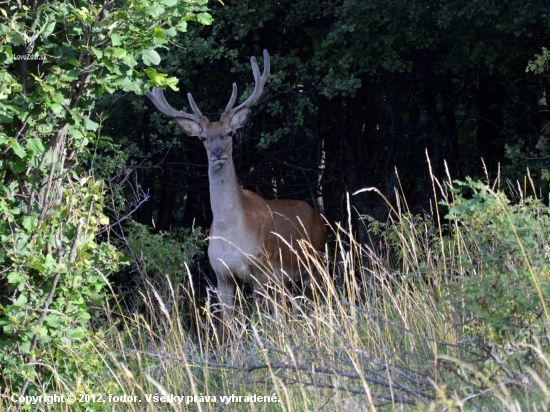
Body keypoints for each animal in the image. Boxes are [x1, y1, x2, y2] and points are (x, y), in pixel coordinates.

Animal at [146, 48, 328, 318]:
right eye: (203, 138)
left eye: (229, 133)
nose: (218, 152)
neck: (231, 230)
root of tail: (320, 218)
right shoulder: (221, 275)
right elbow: (228, 324)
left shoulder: (261, 269)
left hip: (315, 263)